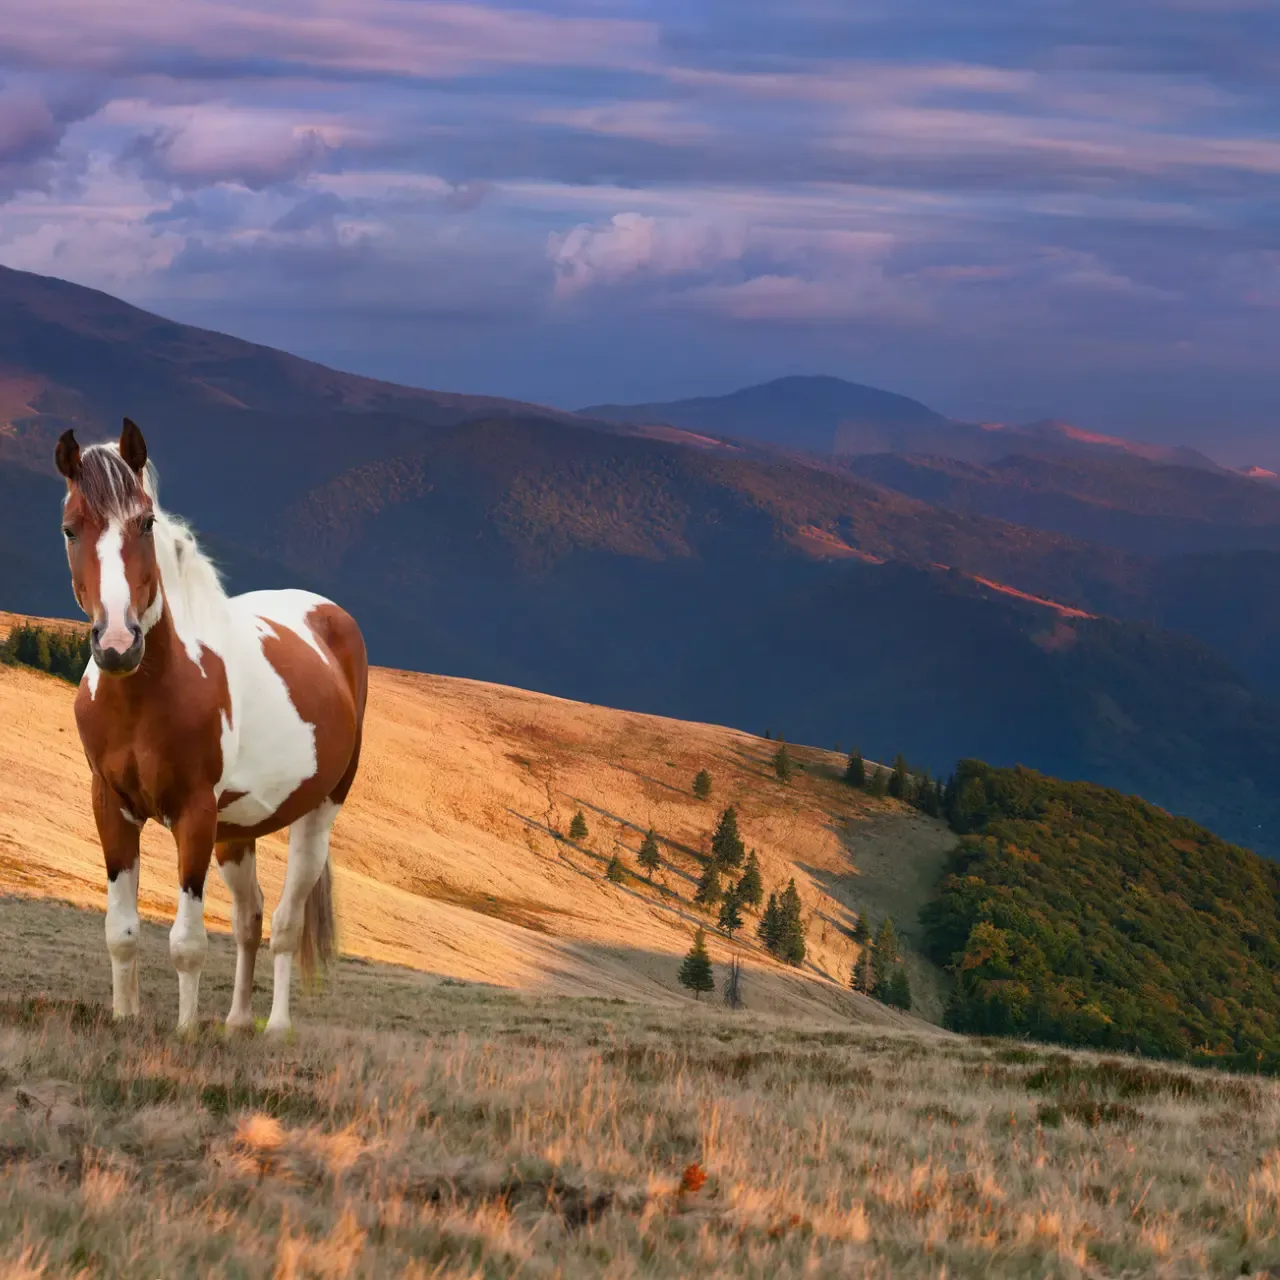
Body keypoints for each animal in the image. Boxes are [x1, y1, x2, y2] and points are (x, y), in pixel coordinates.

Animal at [54, 418, 368, 1035]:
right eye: (71, 529)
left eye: (146, 522)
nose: (118, 645)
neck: (148, 695)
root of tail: (329, 614)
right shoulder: (111, 807)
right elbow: (121, 931)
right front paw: (124, 1018)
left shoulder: (193, 815)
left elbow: (188, 942)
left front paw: (184, 1032)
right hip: (236, 834)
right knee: (250, 919)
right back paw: (238, 1021)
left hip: (316, 816)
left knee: (286, 924)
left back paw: (275, 1028)